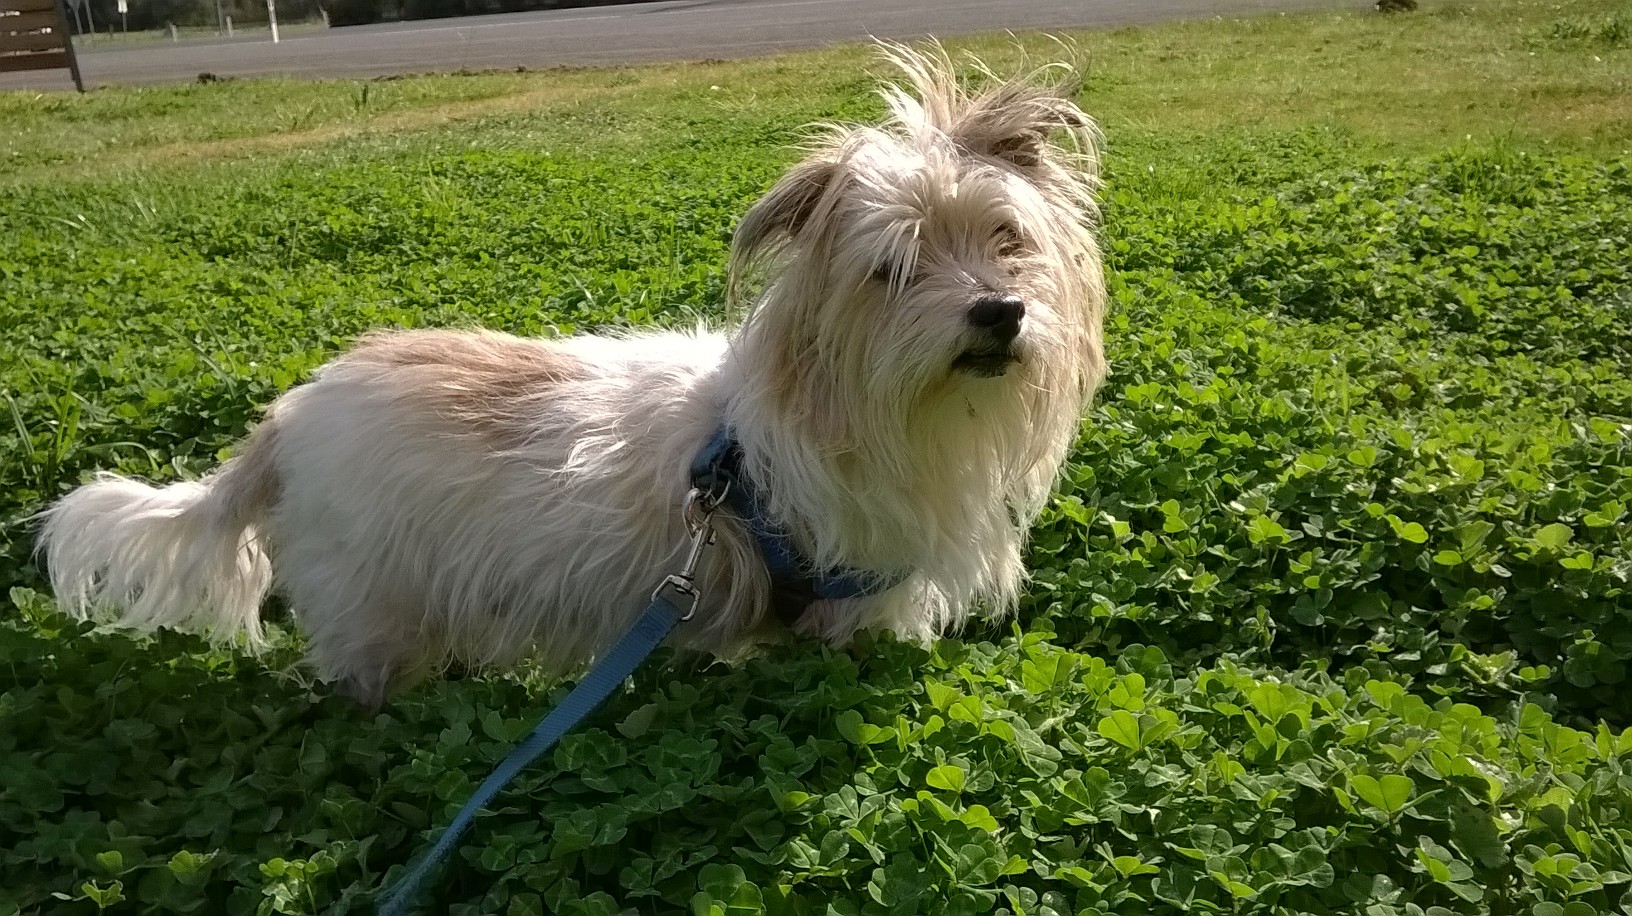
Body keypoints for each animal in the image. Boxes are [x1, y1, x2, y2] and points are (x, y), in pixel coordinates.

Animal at [38, 44, 1108, 707]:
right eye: (893, 269)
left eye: (1007, 242)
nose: (999, 310)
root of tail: (285, 421)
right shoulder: (842, 595)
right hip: (373, 605)